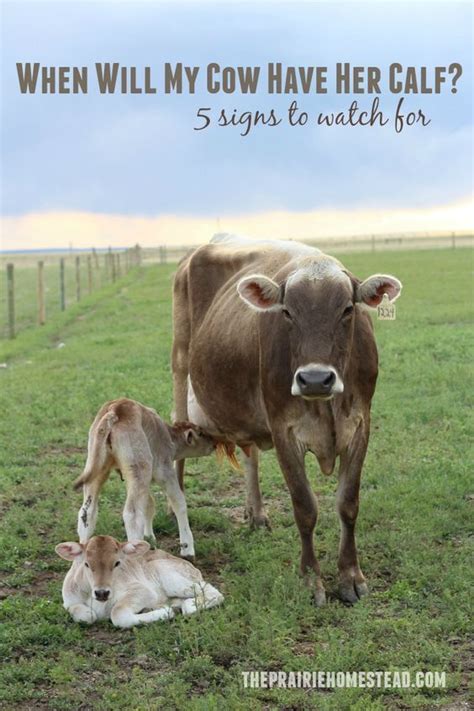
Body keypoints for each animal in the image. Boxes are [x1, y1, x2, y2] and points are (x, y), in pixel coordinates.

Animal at [74, 398, 215, 560]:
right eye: (201, 432)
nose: (214, 443)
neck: (169, 437)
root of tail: (115, 408)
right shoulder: (165, 471)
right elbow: (179, 502)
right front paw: (187, 549)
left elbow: (149, 504)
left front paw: (149, 538)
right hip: (139, 467)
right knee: (132, 514)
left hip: (97, 468)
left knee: (87, 511)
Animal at [172, 236, 402, 604]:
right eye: (287, 312)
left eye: (347, 310)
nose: (315, 379)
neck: (326, 407)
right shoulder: (284, 431)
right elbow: (305, 507)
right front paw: (311, 580)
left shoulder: (360, 426)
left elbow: (348, 504)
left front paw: (350, 576)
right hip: (179, 366)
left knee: (249, 455)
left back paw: (256, 514)